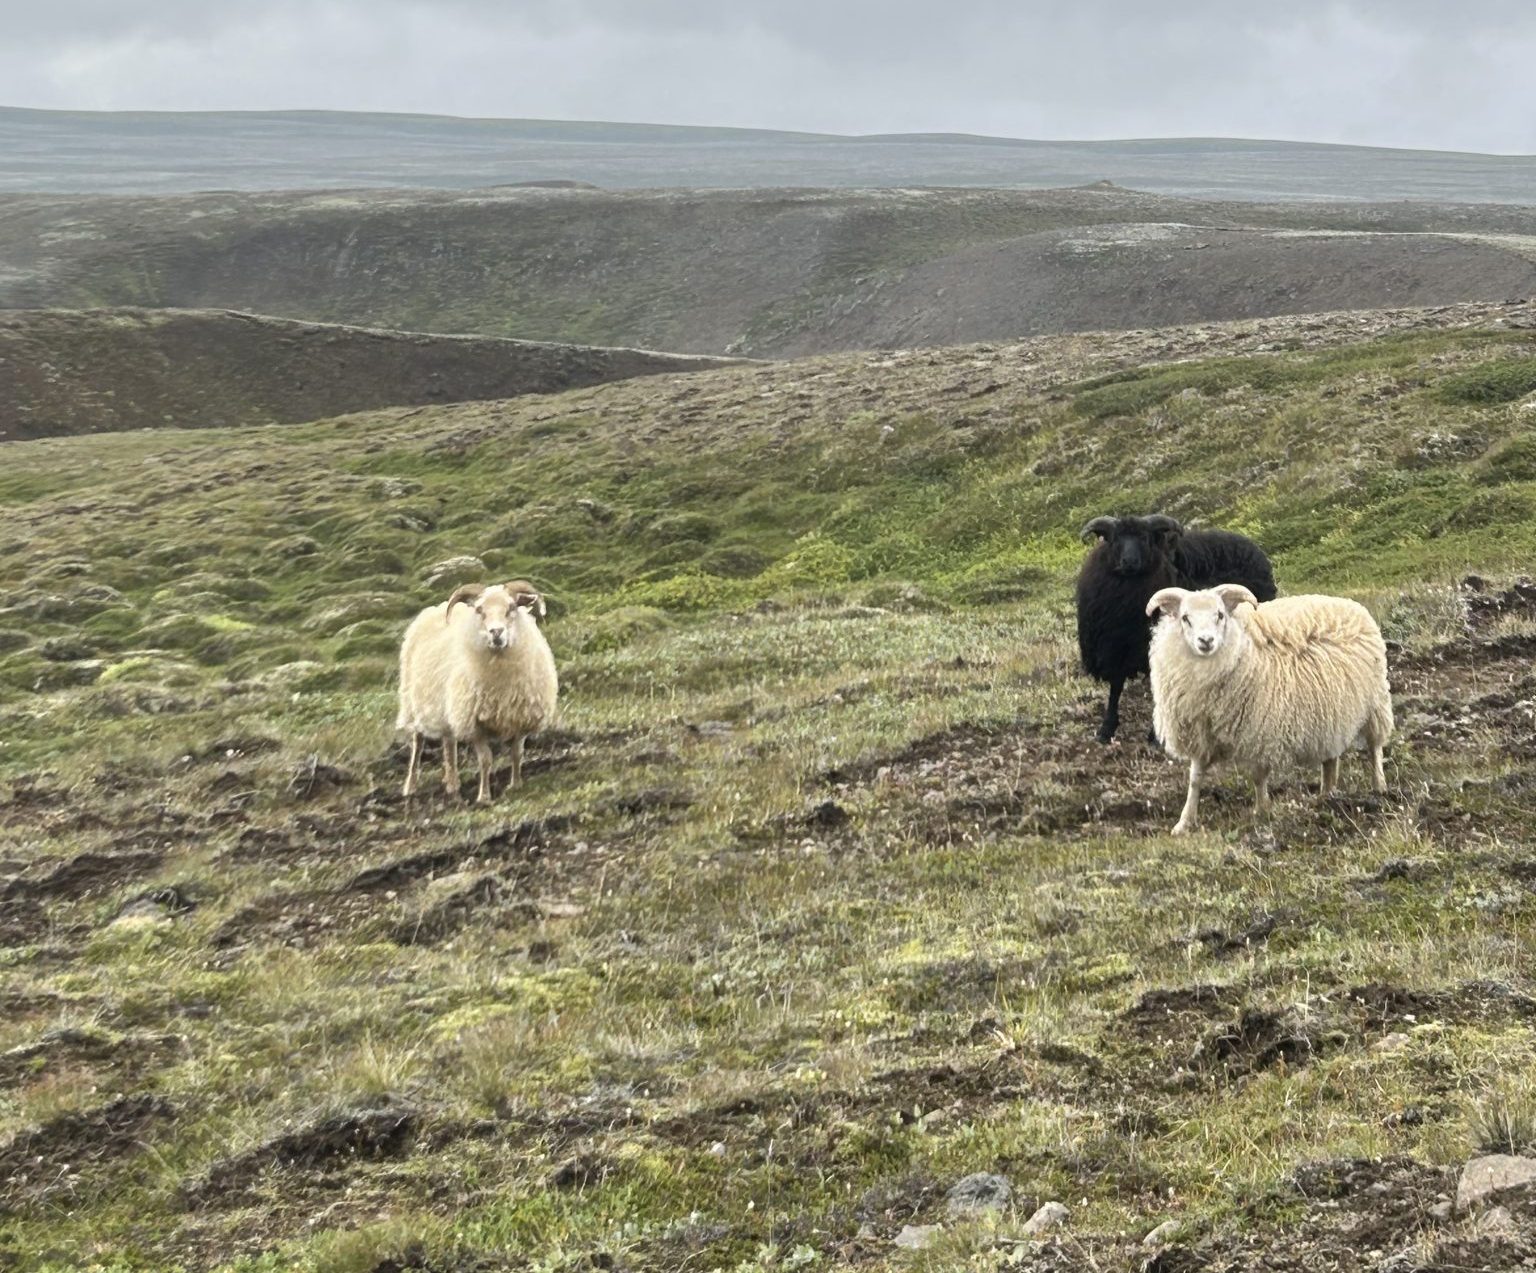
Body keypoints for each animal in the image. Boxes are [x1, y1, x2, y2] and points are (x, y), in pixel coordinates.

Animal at [399, 577, 562, 798]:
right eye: (479, 610)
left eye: (512, 607)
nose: (496, 632)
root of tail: (435, 608)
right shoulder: (474, 723)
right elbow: (485, 760)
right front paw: (484, 796)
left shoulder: (521, 717)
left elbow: (517, 753)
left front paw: (516, 785)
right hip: (414, 703)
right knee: (418, 744)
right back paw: (411, 786)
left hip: (448, 705)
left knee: (449, 742)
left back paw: (452, 783)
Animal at [1075, 512, 1277, 740]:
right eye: (1115, 539)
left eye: (1145, 538)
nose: (1129, 561)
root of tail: (1252, 546)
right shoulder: (1115, 646)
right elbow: (1115, 686)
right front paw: (1107, 728)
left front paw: (1155, 735)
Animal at [1155, 586, 1394, 835]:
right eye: (1185, 617)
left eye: (1220, 614)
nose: (1206, 641)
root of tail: (1350, 604)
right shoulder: (1202, 732)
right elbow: (1195, 779)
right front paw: (1184, 823)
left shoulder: (1260, 729)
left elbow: (1258, 777)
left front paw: (1262, 812)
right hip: (1332, 712)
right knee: (1330, 759)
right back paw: (1326, 797)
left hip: (1375, 704)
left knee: (1375, 748)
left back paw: (1379, 788)